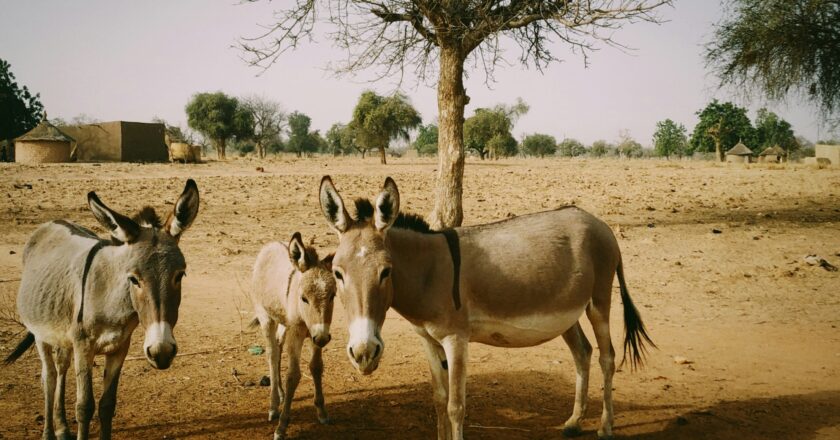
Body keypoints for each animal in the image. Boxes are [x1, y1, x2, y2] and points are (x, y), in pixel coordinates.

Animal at [251, 232, 336, 438]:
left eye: (333, 296)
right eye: (304, 298)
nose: (323, 338)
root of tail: (270, 245)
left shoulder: (317, 332)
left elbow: (316, 367)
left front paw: (322, 412)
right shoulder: (297, 333)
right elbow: (293, 375)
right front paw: (282, 426)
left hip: (283, 323)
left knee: (279, 347)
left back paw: (281, 394)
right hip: (266, 318)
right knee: (272, 354)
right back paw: (274, 406)